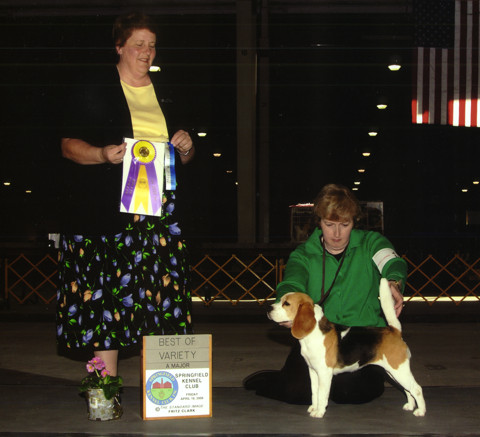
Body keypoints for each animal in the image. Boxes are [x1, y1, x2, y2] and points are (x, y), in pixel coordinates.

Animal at [268, 278, 426, 418]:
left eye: (286, 303)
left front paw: (319, 412)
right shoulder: (313, 371)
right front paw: (314, 407)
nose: (269, 309)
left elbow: (322, 394)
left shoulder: (324, 373)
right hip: (394, 372)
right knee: (408, 390)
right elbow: (315, 392)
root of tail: (394, 331)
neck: (313, 333)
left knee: (417, 389)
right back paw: (410, 406)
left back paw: (421, 411)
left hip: (399, 370)